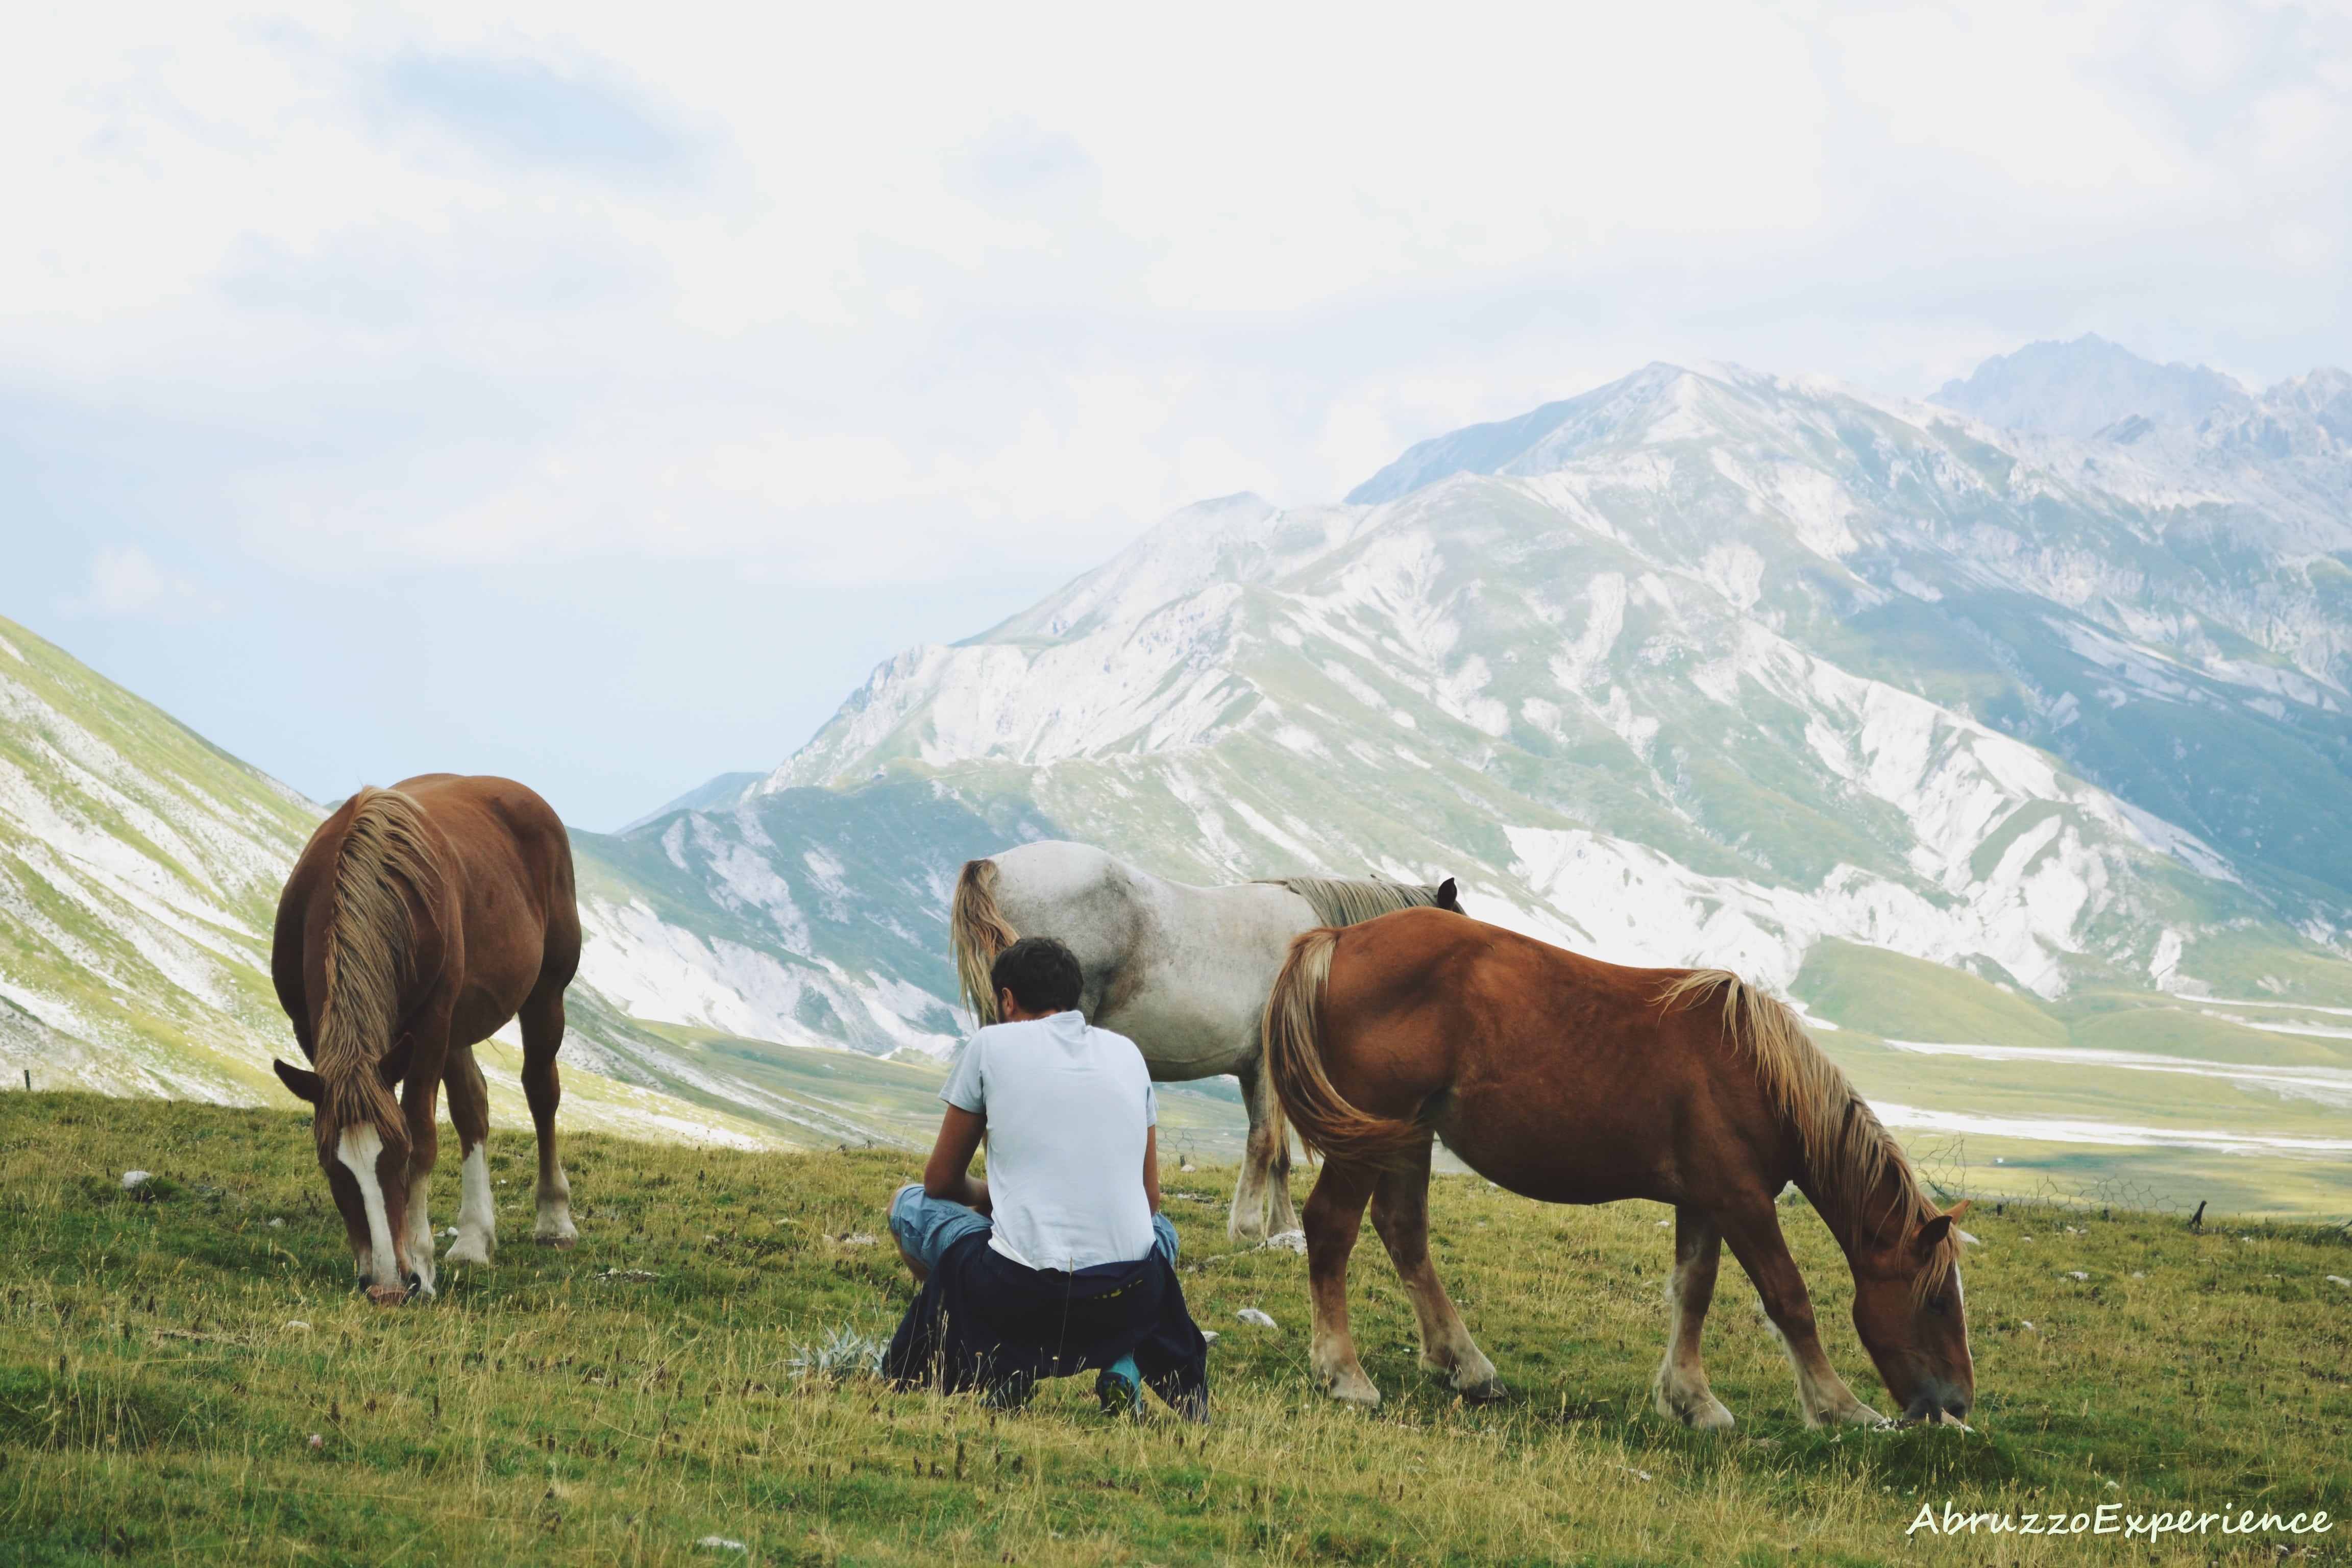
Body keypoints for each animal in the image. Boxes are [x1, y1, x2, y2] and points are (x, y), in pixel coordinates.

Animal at [270, 780, 583, 1307]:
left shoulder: (432, 1024)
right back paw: (474, 1237)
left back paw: (555, 1219)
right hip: (458, 1024)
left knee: (542, 1092)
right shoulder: (313, 1035)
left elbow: (422, 1131)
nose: (387, 1288)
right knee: (473, 1107)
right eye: (333, 1170)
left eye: (397, 1159)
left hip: (543, 996)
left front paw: (418, 1258)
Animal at [945, 846, 1458, 1241]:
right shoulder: (1269, 1069)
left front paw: (1284, 1230)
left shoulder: (1255, 1072)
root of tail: (996, 865)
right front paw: (1248, 1229)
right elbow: (1263, 1141)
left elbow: (1278, 1151)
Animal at [1260, 907, 1975, 1438]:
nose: (1958, 1403)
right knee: (1332, 1228)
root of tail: (1338, 940)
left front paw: (1692, 1399)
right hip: (1371, 1138)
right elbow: (1789, 1299)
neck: (1757, 1072)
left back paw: (1466, 1366)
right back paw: (1345, 1374)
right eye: (1937, 1302)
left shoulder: (1704, 1202)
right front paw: (1839, 1406)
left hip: (1408, 1136)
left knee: (1403, 1231)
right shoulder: (1741, 1200)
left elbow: (1694, 1292)